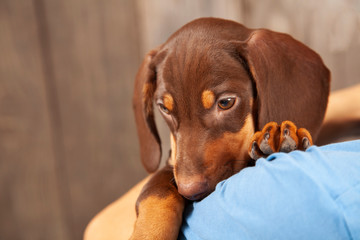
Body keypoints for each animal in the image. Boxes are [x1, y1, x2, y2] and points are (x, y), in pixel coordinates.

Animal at [131, 17, 330, 239]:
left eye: (226, 102)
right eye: (164, 108)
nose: (189, 191)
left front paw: (279, 140)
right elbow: (156, 192)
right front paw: (148, 232)